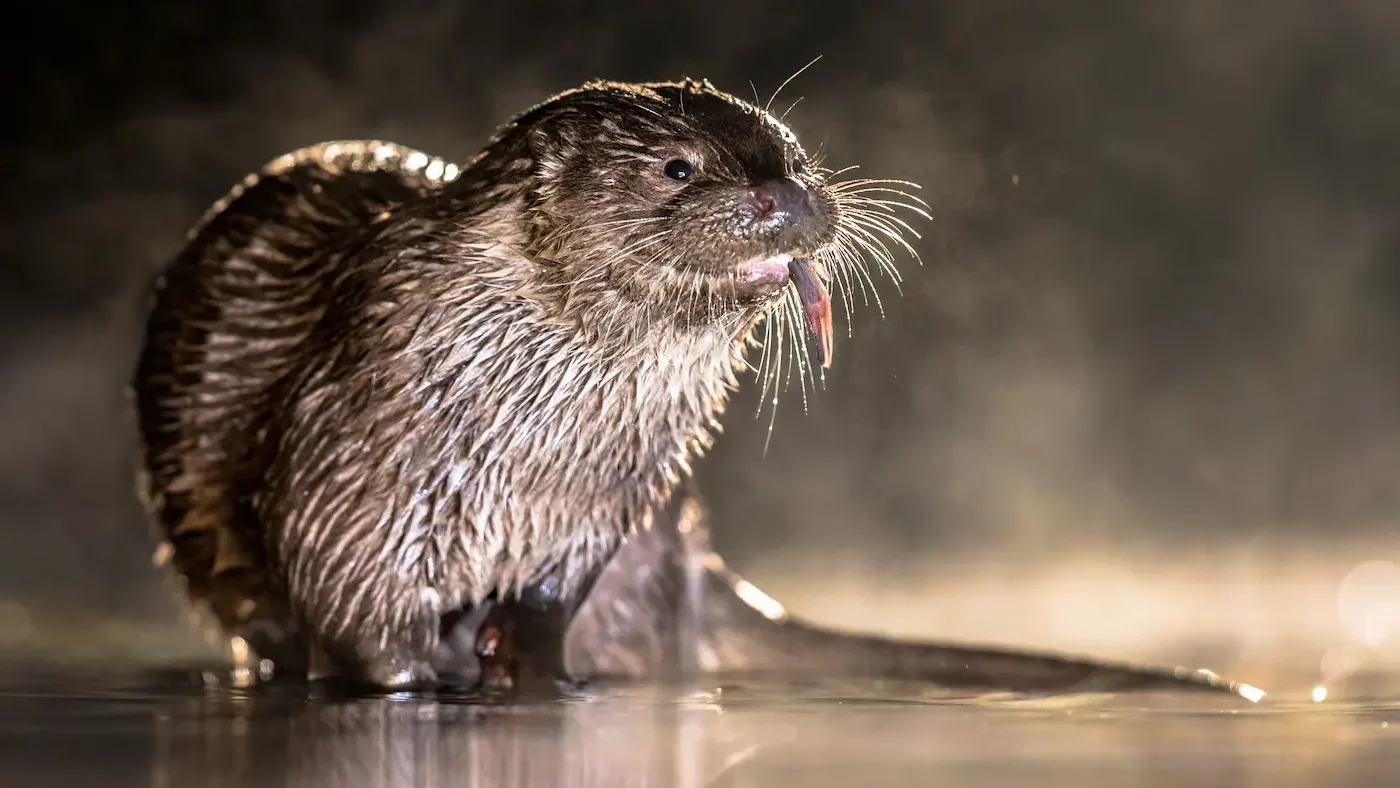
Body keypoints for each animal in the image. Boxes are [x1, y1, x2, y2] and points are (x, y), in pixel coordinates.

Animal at [136, 76, 1265, 699]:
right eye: (680, 167)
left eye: (791, 150)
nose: (787, 196)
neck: (529, 445)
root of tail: (693, 570)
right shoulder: (342, 474)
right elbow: (353, 609)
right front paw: (428, 669)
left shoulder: (609, 499)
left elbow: (551, 596)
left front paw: (521, 653)